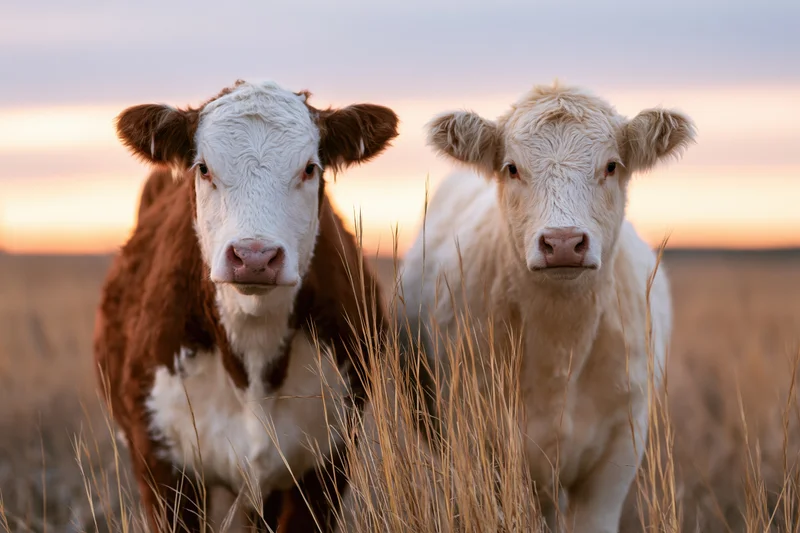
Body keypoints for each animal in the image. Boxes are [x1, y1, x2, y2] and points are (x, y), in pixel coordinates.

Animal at [394, 83, 695, 532]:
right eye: (512, 168)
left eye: (611, 165)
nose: (564, 242)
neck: (562, 347)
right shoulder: (479, 444)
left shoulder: (620, 451)